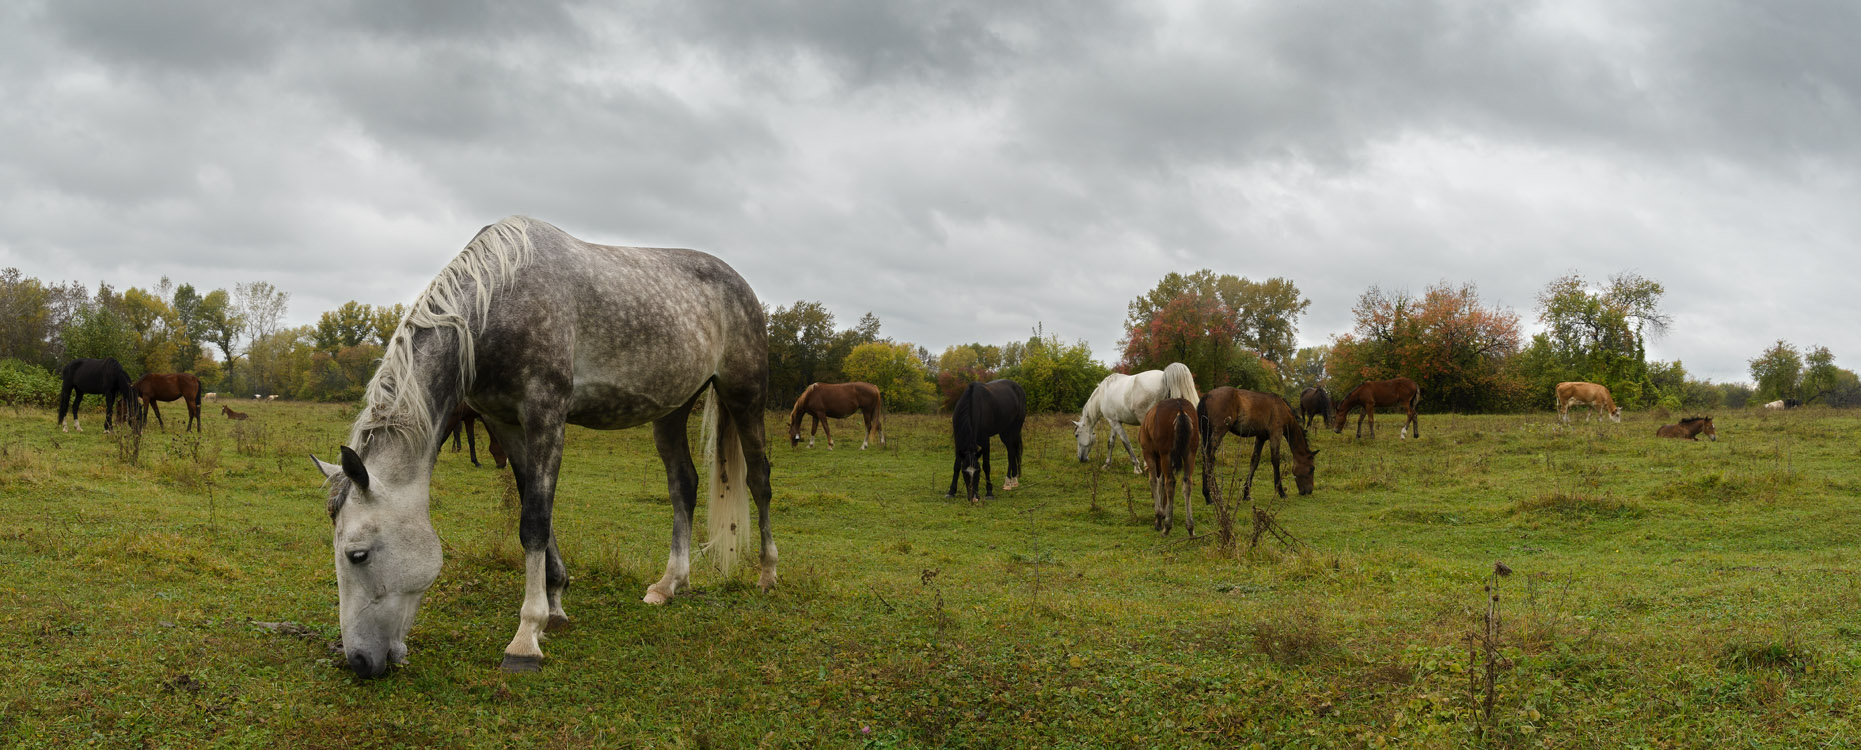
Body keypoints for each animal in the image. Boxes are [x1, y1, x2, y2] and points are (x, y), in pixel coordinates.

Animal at [308, 217, 774, 681]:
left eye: (357, 555)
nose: (360, 662)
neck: (496, 302)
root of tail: (740, 284)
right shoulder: (505, 423)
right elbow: (535, 508)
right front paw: (555, 606)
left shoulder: (546, 415)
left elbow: (533, 521)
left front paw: (525, 637)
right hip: (673, 410)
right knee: (684, 486)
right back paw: (670, 584)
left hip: (744, 397)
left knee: (759, 479)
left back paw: (767, 574)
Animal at [1138, 396, 1198, 535]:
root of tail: (1180, 410)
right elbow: (1161, 482)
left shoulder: (1149, 453)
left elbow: (1154, 481)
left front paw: (1159, 516)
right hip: (1190, 453)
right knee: (1187, 483)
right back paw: (1190, 527)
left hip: (1166, 454)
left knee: (1170, 482)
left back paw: (1167, 527)